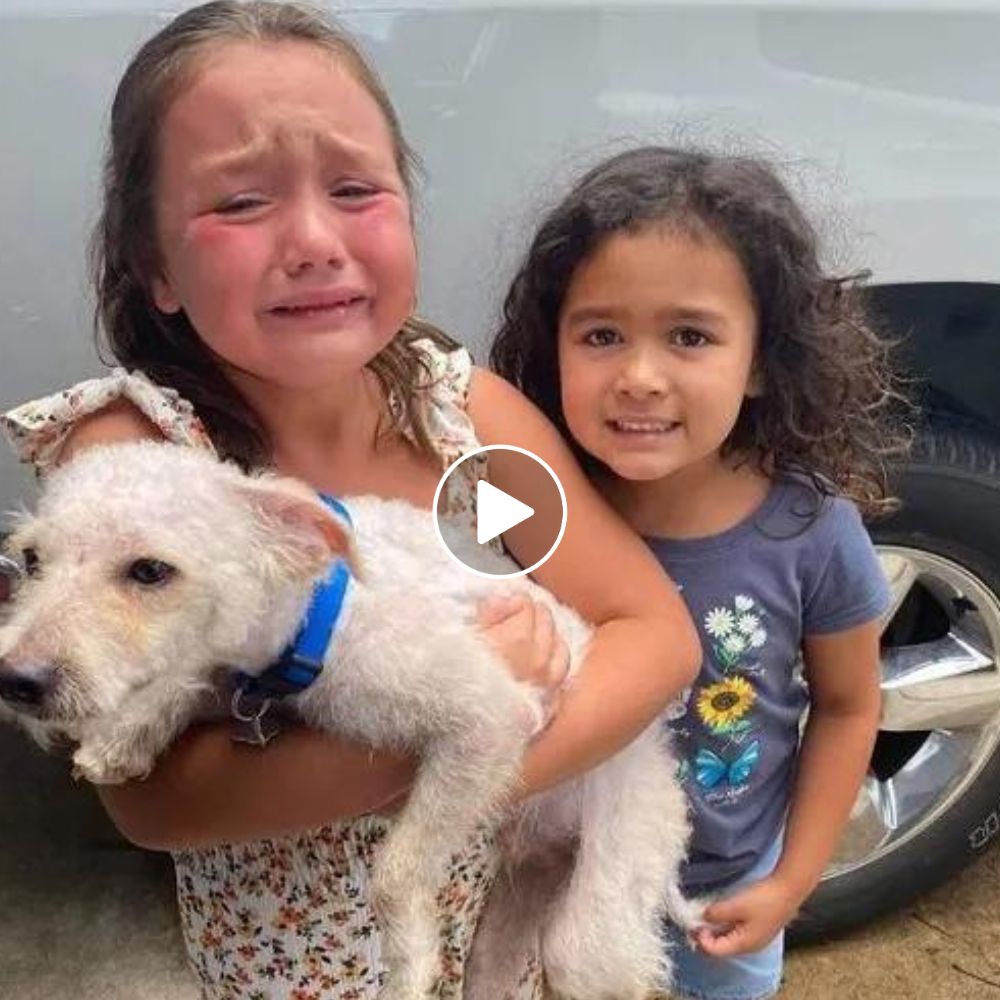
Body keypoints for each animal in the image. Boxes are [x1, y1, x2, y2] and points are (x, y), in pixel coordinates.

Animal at [0, 444, 700, 1000]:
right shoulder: (237, 672)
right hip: (517, 909)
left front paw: (410, 964)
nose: (16, 680)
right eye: (31, 561)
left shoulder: (485, 717)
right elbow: (188, 676)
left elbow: (395, 873)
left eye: (150, 570)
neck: (323, 611)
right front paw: (123, 737)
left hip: (600, 907)